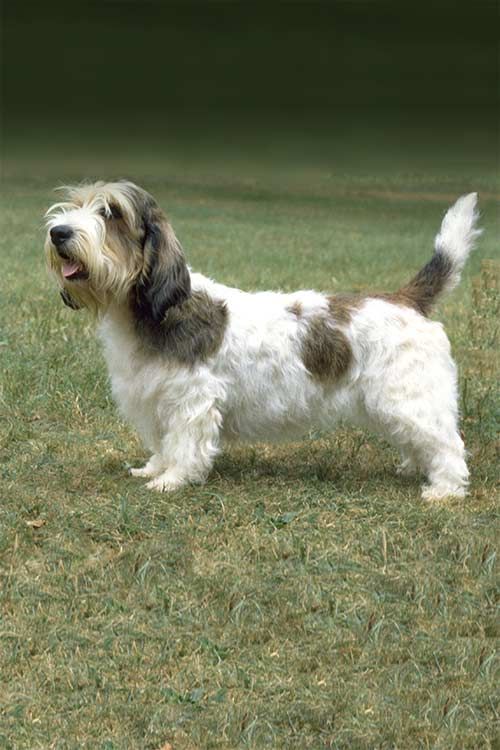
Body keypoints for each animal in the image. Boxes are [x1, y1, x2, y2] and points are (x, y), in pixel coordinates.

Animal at [45, 181, 482, 500]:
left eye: (111, 213)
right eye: (77, 204)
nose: (58, 232)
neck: (159, 309)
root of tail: (407, 299)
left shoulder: (191, 400)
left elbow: (184, 445)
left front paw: (171, 480)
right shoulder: (153, 396)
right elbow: (163, 442)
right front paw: (153, 468)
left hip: (411, 399)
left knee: (448, 444)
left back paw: (443, 490)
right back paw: (415, 469)